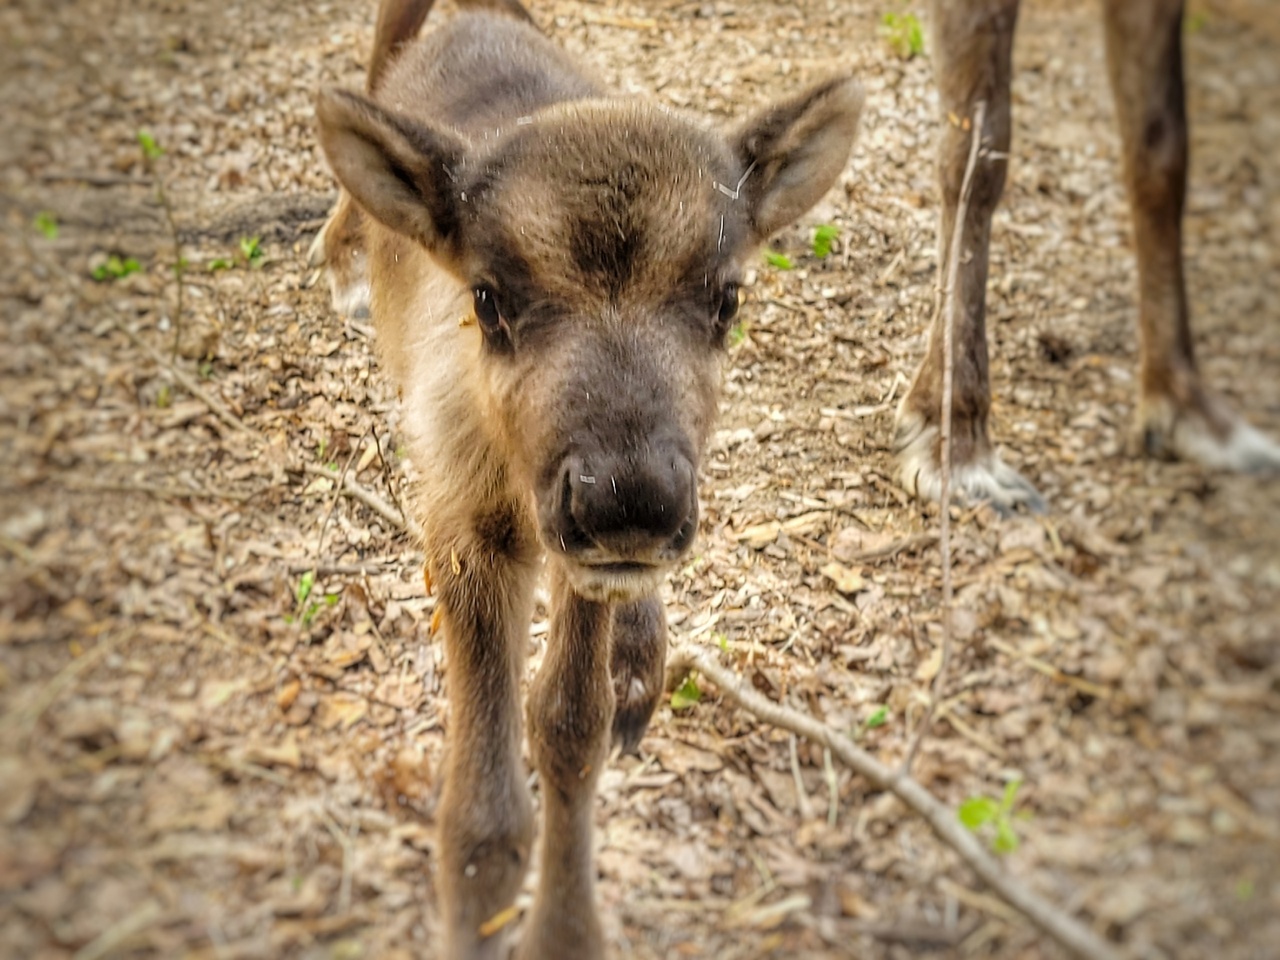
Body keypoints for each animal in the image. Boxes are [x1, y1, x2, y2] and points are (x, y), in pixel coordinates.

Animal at [314, 3, 865, 957]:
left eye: (727, 298)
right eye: (489, 297)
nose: (629, 501)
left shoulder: (582, 561)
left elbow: (570, 726)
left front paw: (565, 930)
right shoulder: (472, 533)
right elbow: (484, 815)